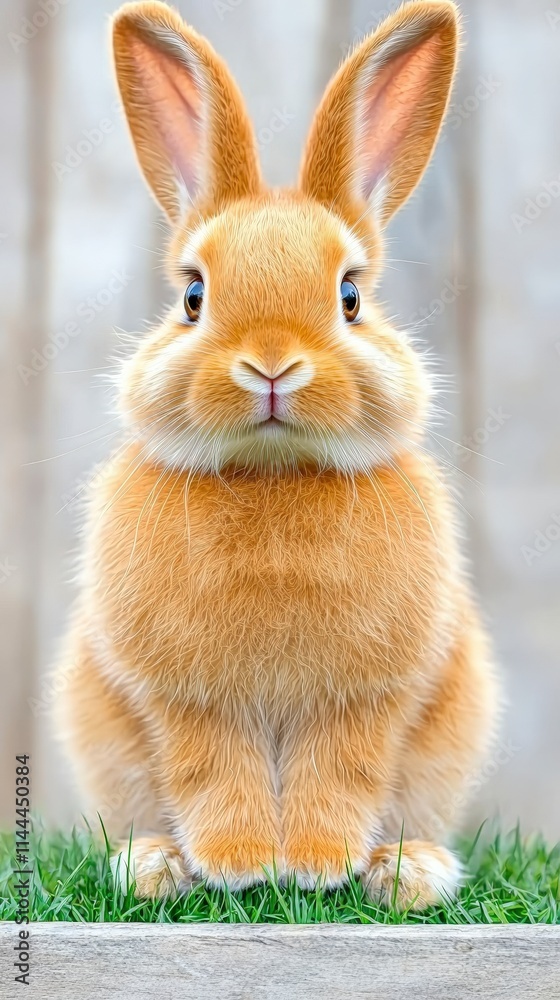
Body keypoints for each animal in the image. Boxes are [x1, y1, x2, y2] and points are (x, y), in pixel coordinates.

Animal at [52, 0, 500, 909]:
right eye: (193, 296)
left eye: (351, 296)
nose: (270, 363)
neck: (273, 473)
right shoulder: (187, 700)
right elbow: (212, 772)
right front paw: (240, 864)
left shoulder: (365, 699)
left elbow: (341, 773)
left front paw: (319, 866)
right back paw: (154, 867)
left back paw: (407, 872)